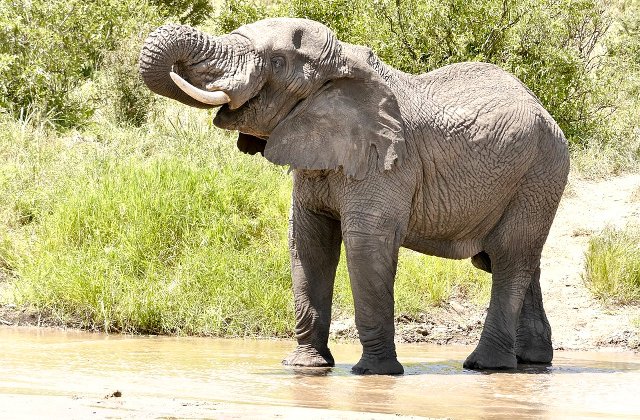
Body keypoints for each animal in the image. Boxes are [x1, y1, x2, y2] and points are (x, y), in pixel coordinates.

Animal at [139, 18, 569, 375]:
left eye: (277, 62)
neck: (341, 68)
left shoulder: (387, 161)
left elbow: (366, 244)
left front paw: (374, 373)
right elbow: (307, 242)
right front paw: (305, 368)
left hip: (541, 171)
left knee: (509, 257)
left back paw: (485, 366)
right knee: (506, 261)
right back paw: (532, 361)